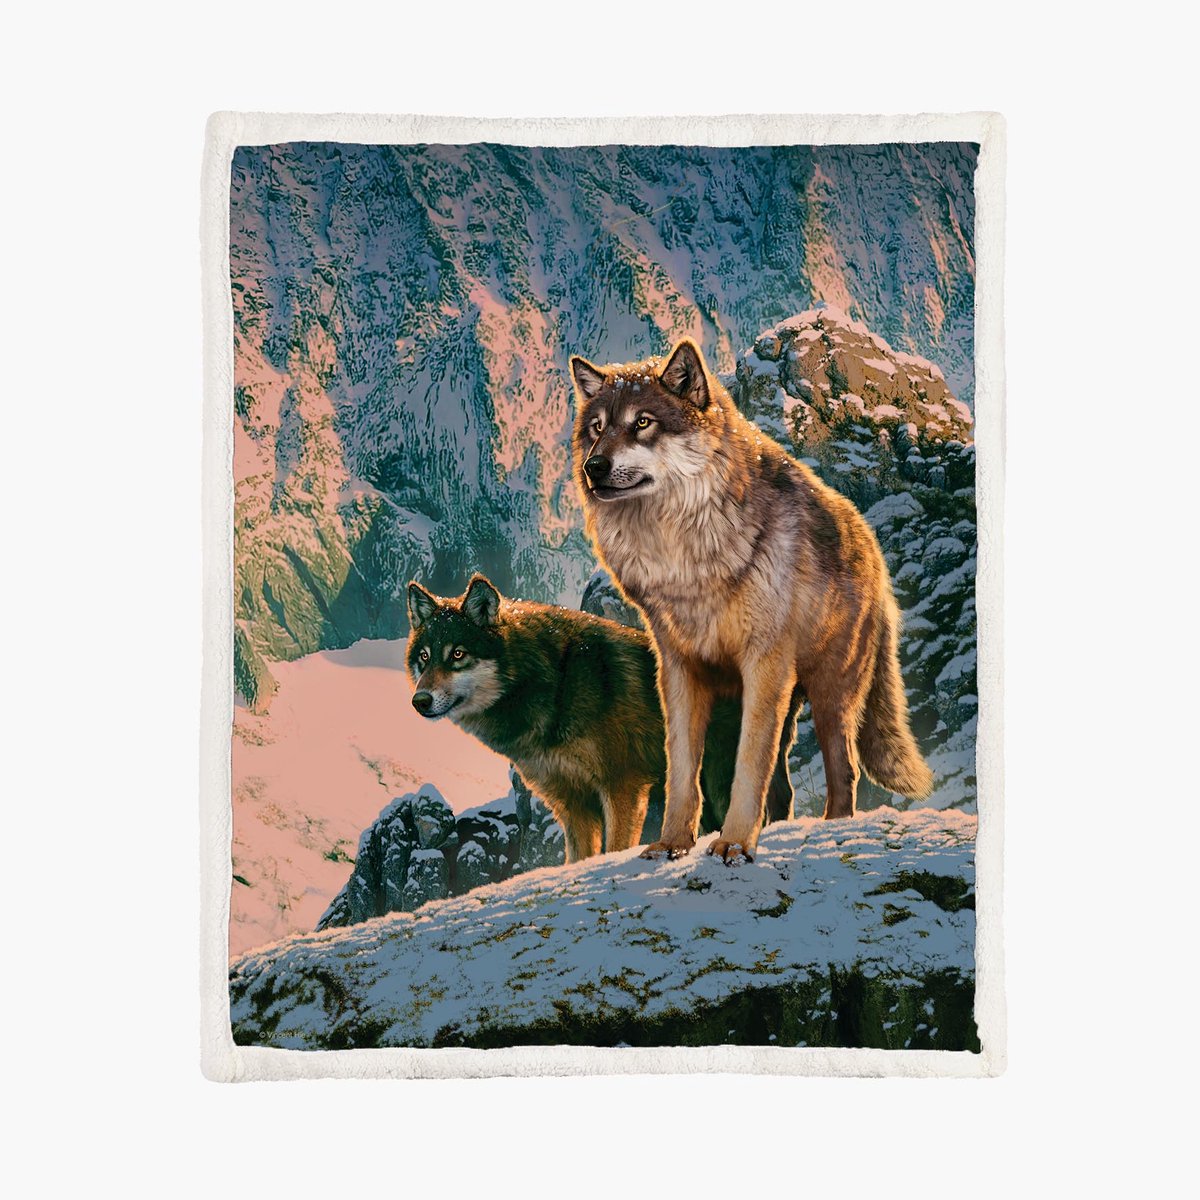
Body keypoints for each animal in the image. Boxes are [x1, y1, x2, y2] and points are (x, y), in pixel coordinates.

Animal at [405, 574, 796, 863]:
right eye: (424, 657)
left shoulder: (622, 785)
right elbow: (579, 858)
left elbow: (615, 848)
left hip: (718, 775)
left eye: (458, 654)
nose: (419, 701)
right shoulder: (572, 803)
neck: (556, 681)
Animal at [569, 338, 934, 864]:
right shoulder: (678, 669)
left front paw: (736, 844)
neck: (684, 555)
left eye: (643, 422)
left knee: (844, 772)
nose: (593, 467)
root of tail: (874, 551)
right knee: (783, 787)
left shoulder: (764, 665)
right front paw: (673, 843)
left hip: (829, 696)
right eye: (597, 428)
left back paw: (832, 829)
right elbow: (683, 770)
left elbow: (747, 766)